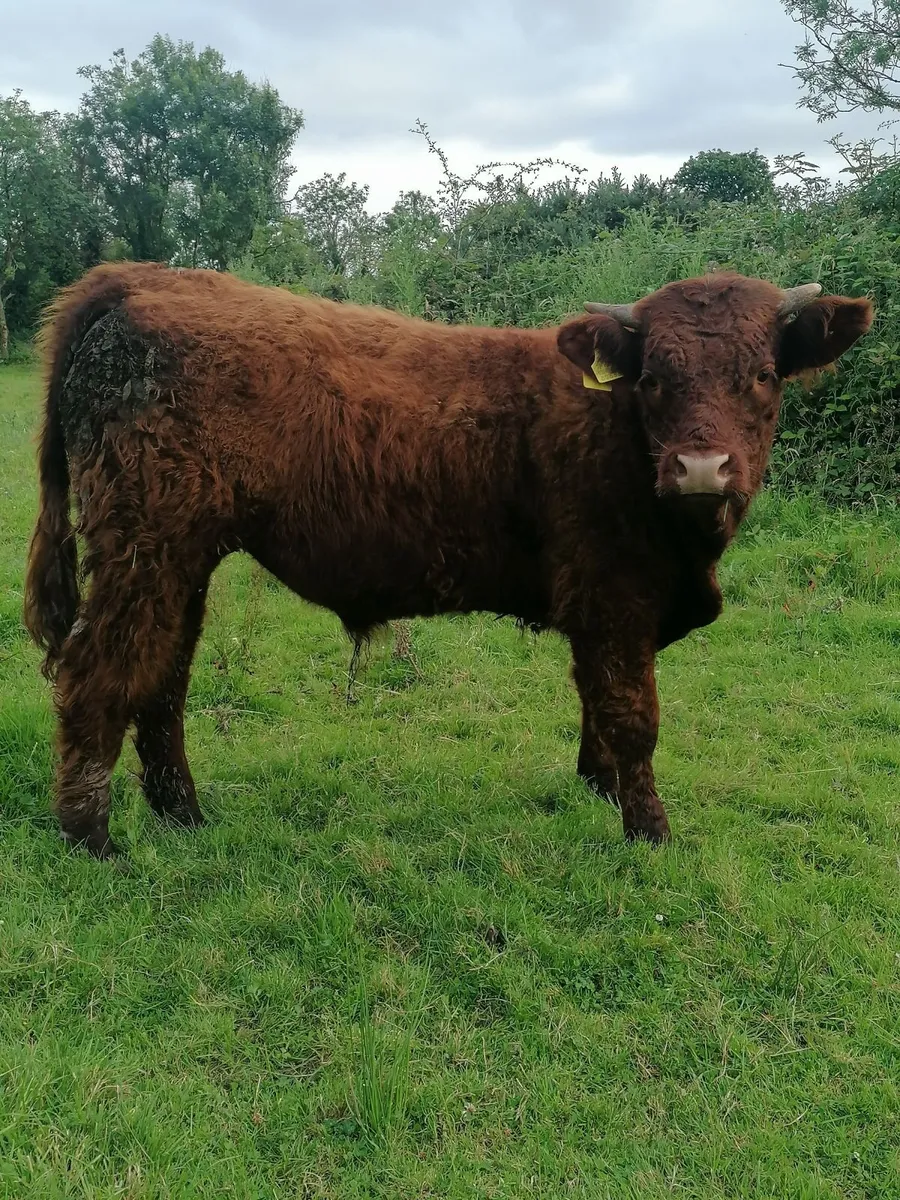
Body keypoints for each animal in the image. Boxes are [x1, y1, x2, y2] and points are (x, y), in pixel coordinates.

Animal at [24, 263, 873, 858]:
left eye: (761, 376)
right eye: (656, 378)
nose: (701, 469)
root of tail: (139, 278)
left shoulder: (603, 611)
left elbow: (596, 708)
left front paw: (597, 791)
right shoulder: (613, 599)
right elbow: (634, 717)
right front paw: (651, 834)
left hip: (179, 560)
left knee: (162, 681)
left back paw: (185, 818)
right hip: (145, 549)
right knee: (100, 677)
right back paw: (93, 840)